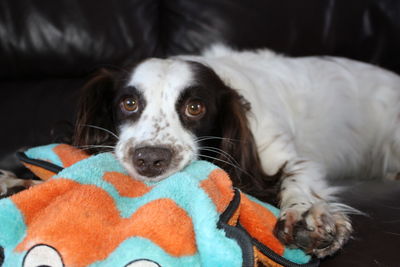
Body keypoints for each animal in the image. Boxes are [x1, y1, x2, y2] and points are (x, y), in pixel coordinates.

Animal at [3, 45, 400, 258]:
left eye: (195, 108)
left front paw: (308, 218)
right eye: (129, 103)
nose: (150, 160)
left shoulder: (282, 154)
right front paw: (12, 180)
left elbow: (297, 180)